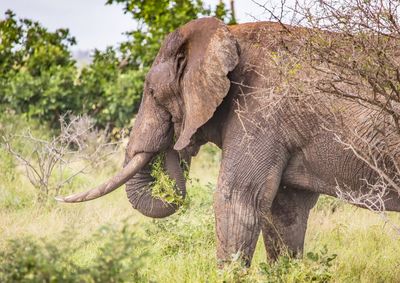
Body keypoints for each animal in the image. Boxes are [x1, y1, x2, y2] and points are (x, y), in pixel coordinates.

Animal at [57, 17, 400, 266]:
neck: (227, 35)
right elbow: (284, 209)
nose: (175, 142)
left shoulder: (260, 110)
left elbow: (237, 198)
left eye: (153, 93)